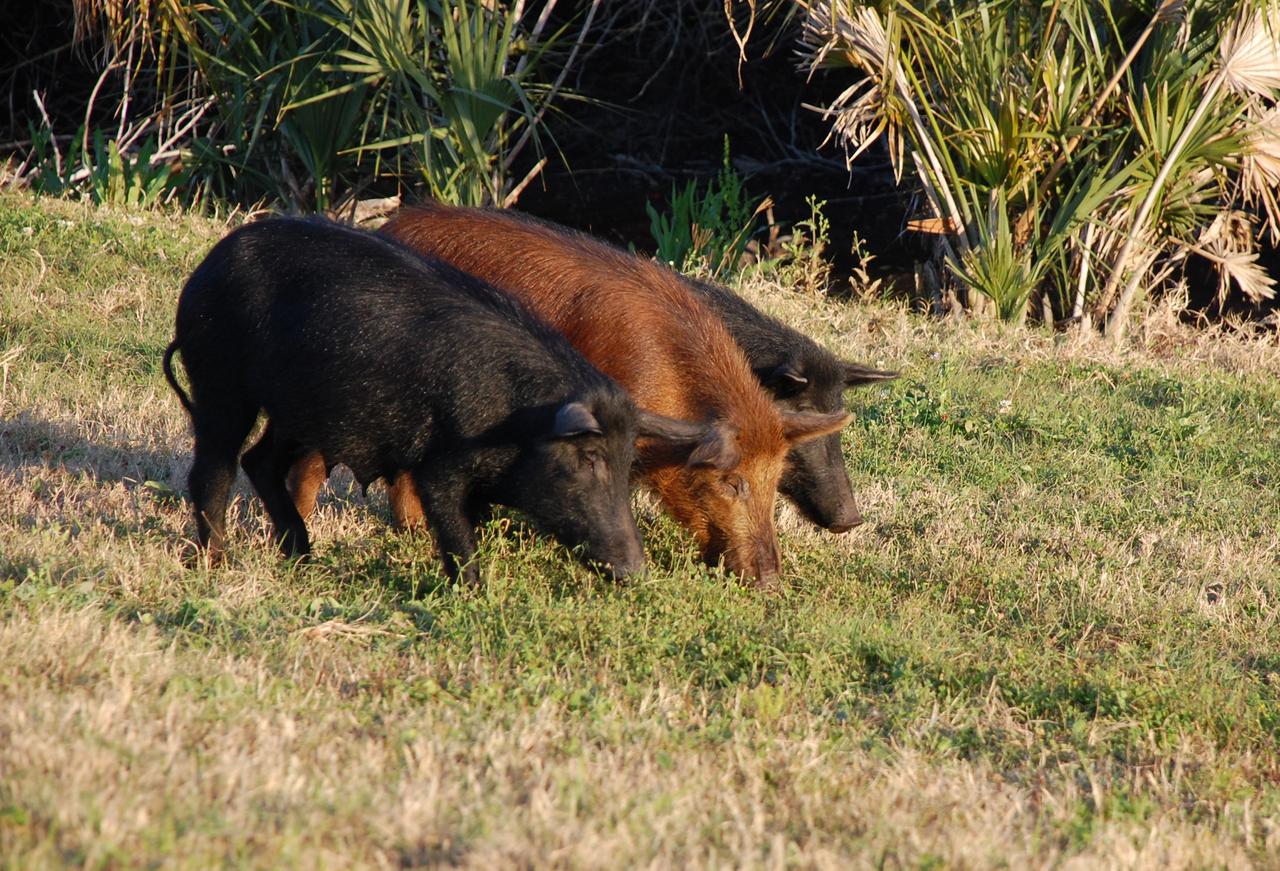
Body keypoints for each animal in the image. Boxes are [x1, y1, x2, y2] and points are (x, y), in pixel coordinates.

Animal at [161, 217, 708, 585]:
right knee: (214, 467)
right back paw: (216, 564)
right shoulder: (439, 464)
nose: (635, 571)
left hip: (296, 412)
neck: (511, 419)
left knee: (261, 461)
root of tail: (206, 268)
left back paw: (302, 556)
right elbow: (454, 529)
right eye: (589, 457)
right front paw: (474, 595)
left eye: (627, 461)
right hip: (220, 382)